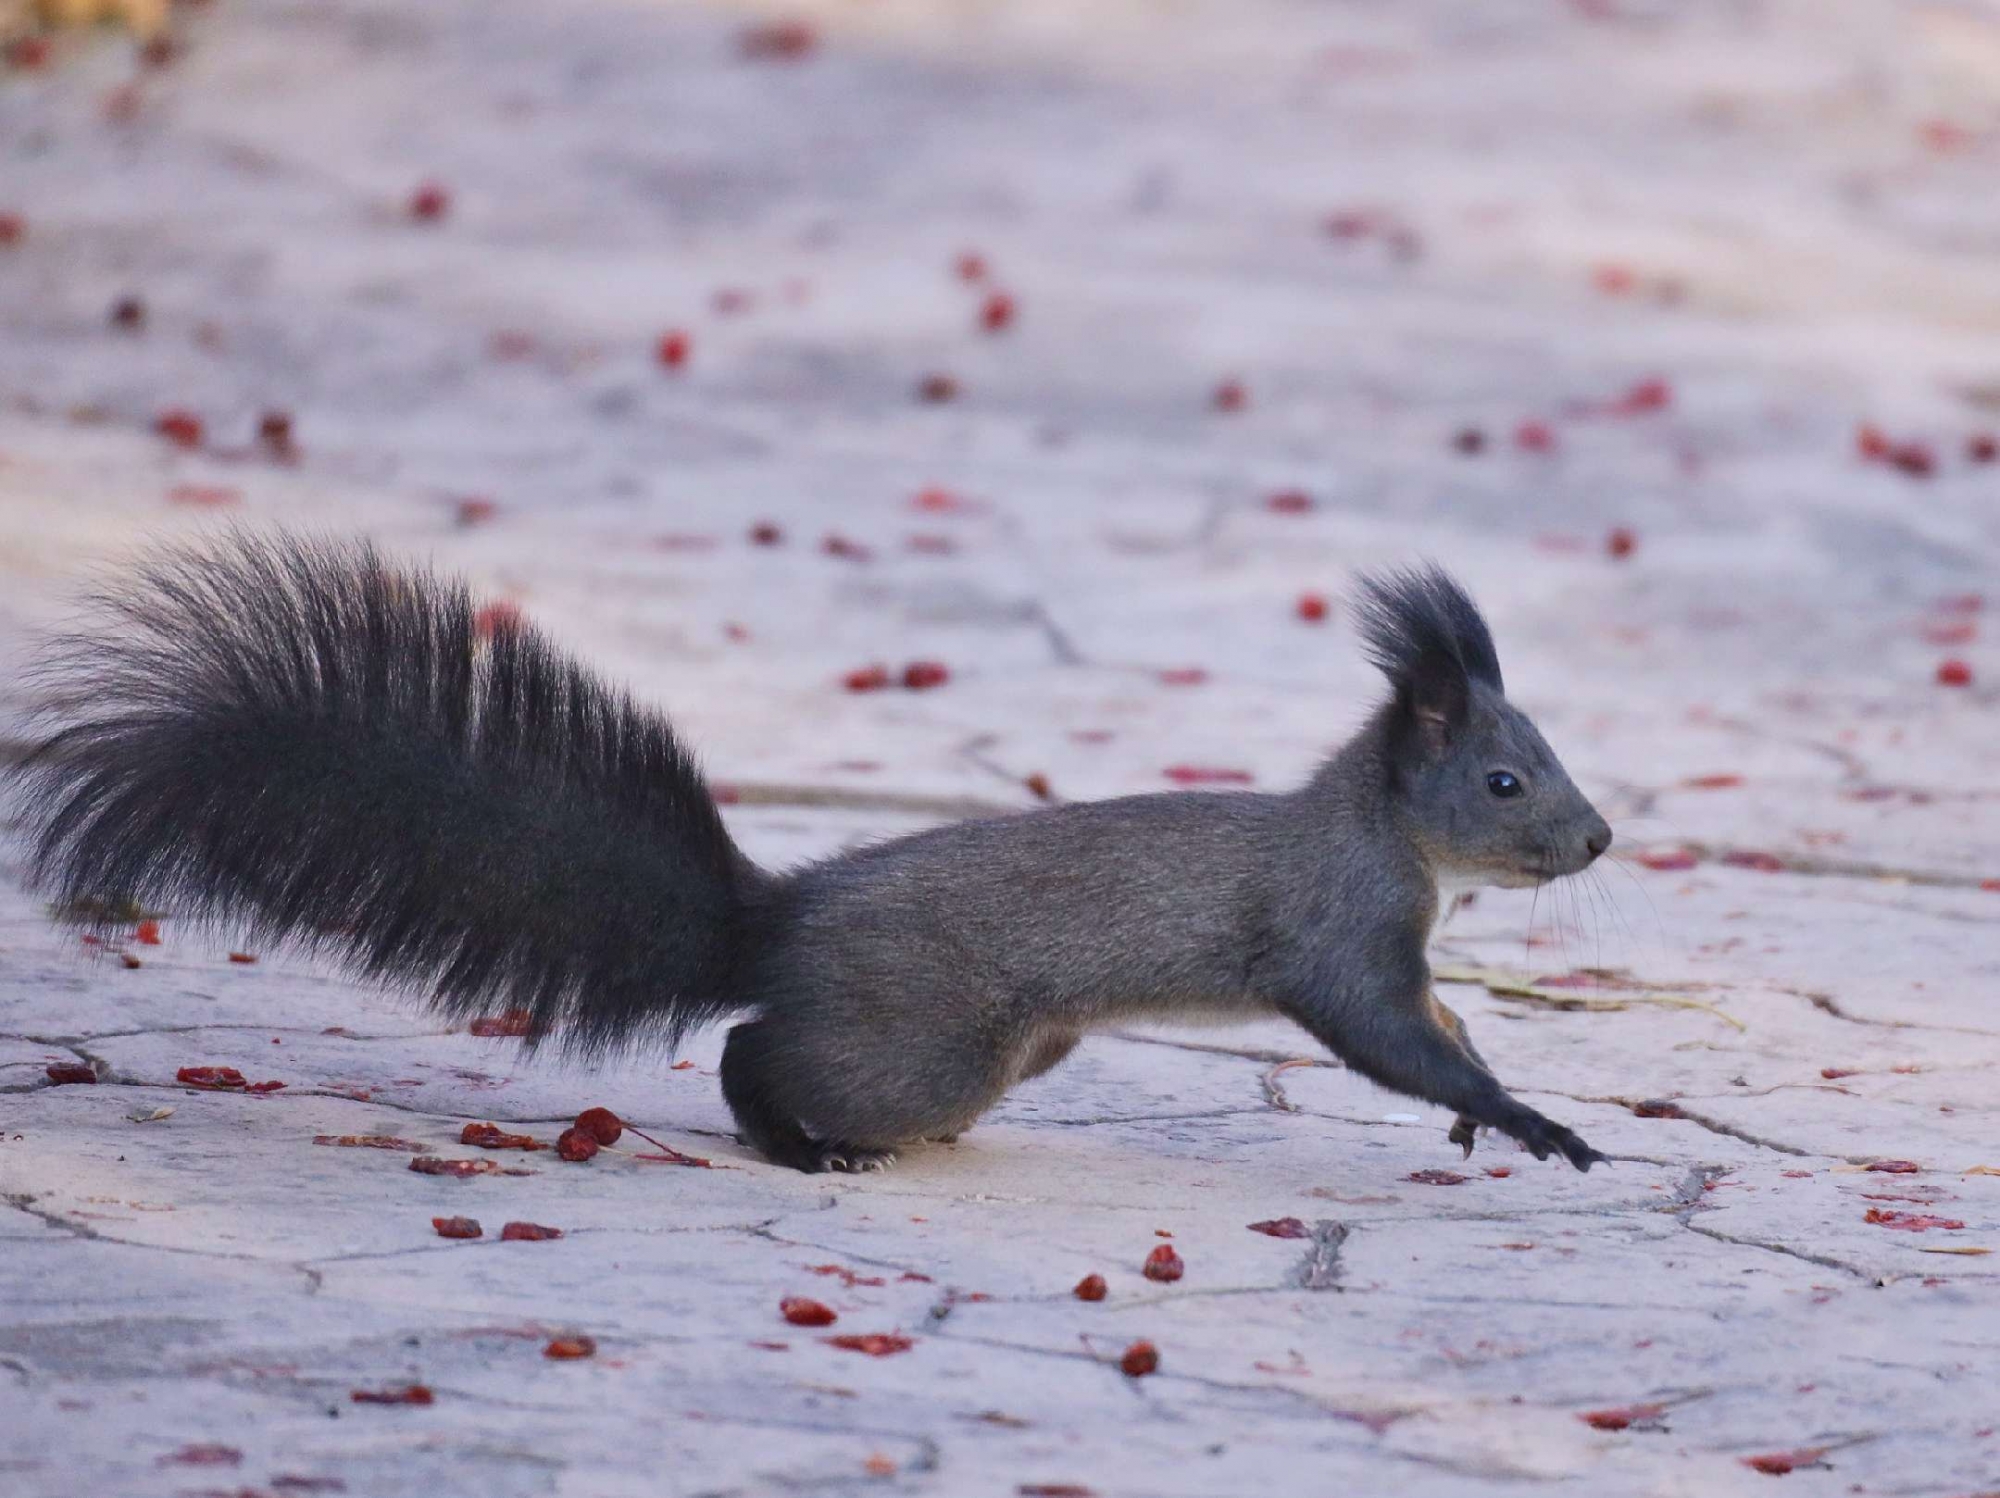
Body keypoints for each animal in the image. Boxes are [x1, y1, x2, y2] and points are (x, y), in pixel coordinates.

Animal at [7, 532, 1616, 1176]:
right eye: (1504, 777)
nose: (1600, 836)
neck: (1389, 837)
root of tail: (773, 922)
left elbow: (1444, 1029)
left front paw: (1486, 1111)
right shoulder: (1338, 935)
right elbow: (1394, 1040)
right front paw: (1529, 1119)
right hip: (926, 1040)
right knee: (750, 1048)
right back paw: (805, 1142)